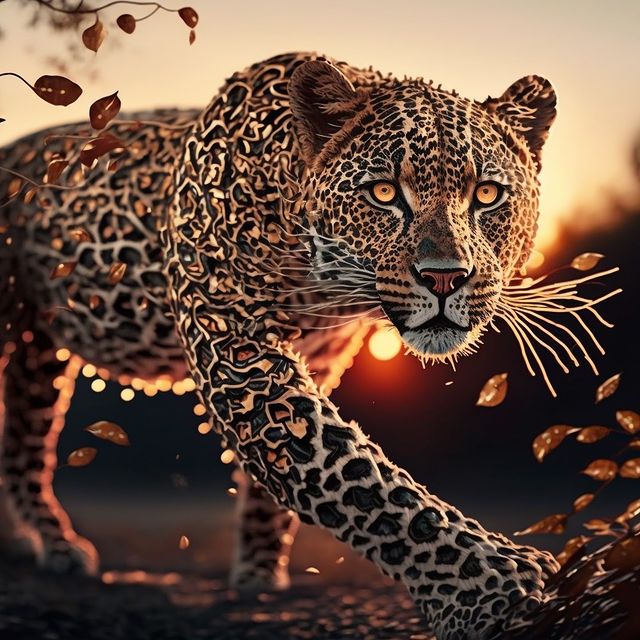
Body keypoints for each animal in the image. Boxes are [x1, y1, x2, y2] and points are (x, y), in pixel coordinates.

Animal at [0, 51, 613, 639]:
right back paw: (56, 545)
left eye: (486, 195)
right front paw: (492, 589)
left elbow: (295, 470)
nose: (446, 278)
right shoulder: (236, 347)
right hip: (27, 341)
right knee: (26, 448)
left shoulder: (317, 357)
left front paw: (258, 571)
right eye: (384, 193)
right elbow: (358, 481)